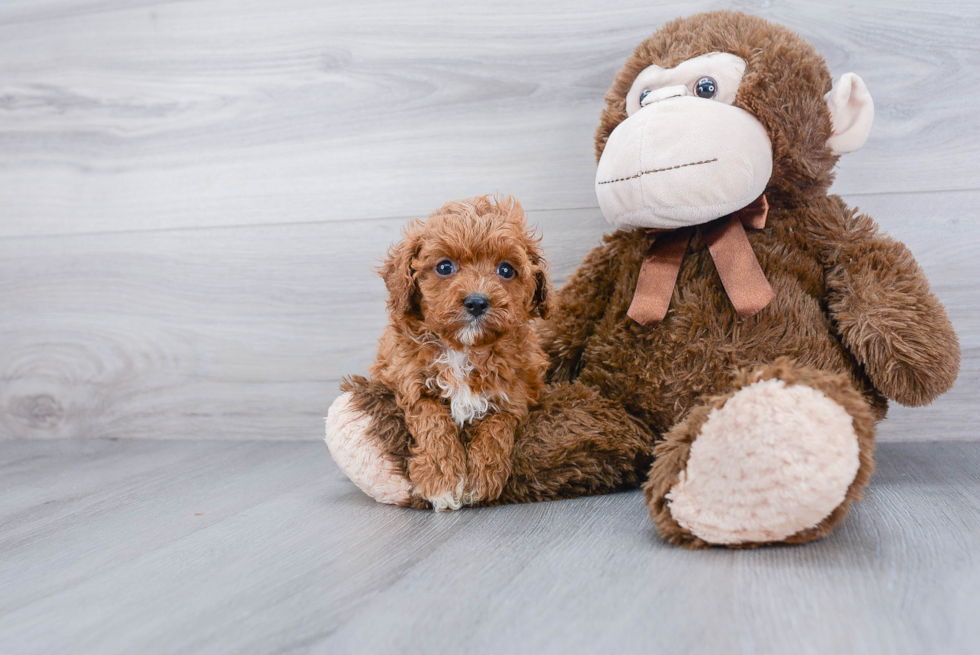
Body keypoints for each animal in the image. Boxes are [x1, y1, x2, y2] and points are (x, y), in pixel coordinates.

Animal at [368, 196, 552, 512]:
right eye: (444, 267)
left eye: (506, 270)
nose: (477, 302)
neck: (464, 349)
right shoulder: (410, 382)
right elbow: (432, 421)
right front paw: (441, 479)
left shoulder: (515, 395)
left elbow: (497, 427)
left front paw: (481, 478)